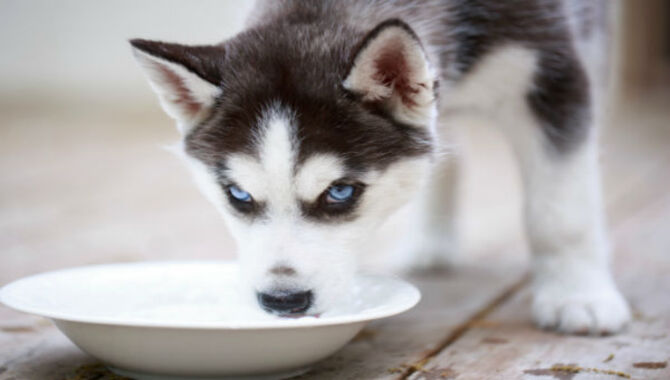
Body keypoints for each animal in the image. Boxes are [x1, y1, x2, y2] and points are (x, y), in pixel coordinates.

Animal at [130, 0, 632, 332]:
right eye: (238, 195)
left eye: (340, 192)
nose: (282, 301)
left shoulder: (552, 74)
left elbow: (561, 211)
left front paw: (578, 295)